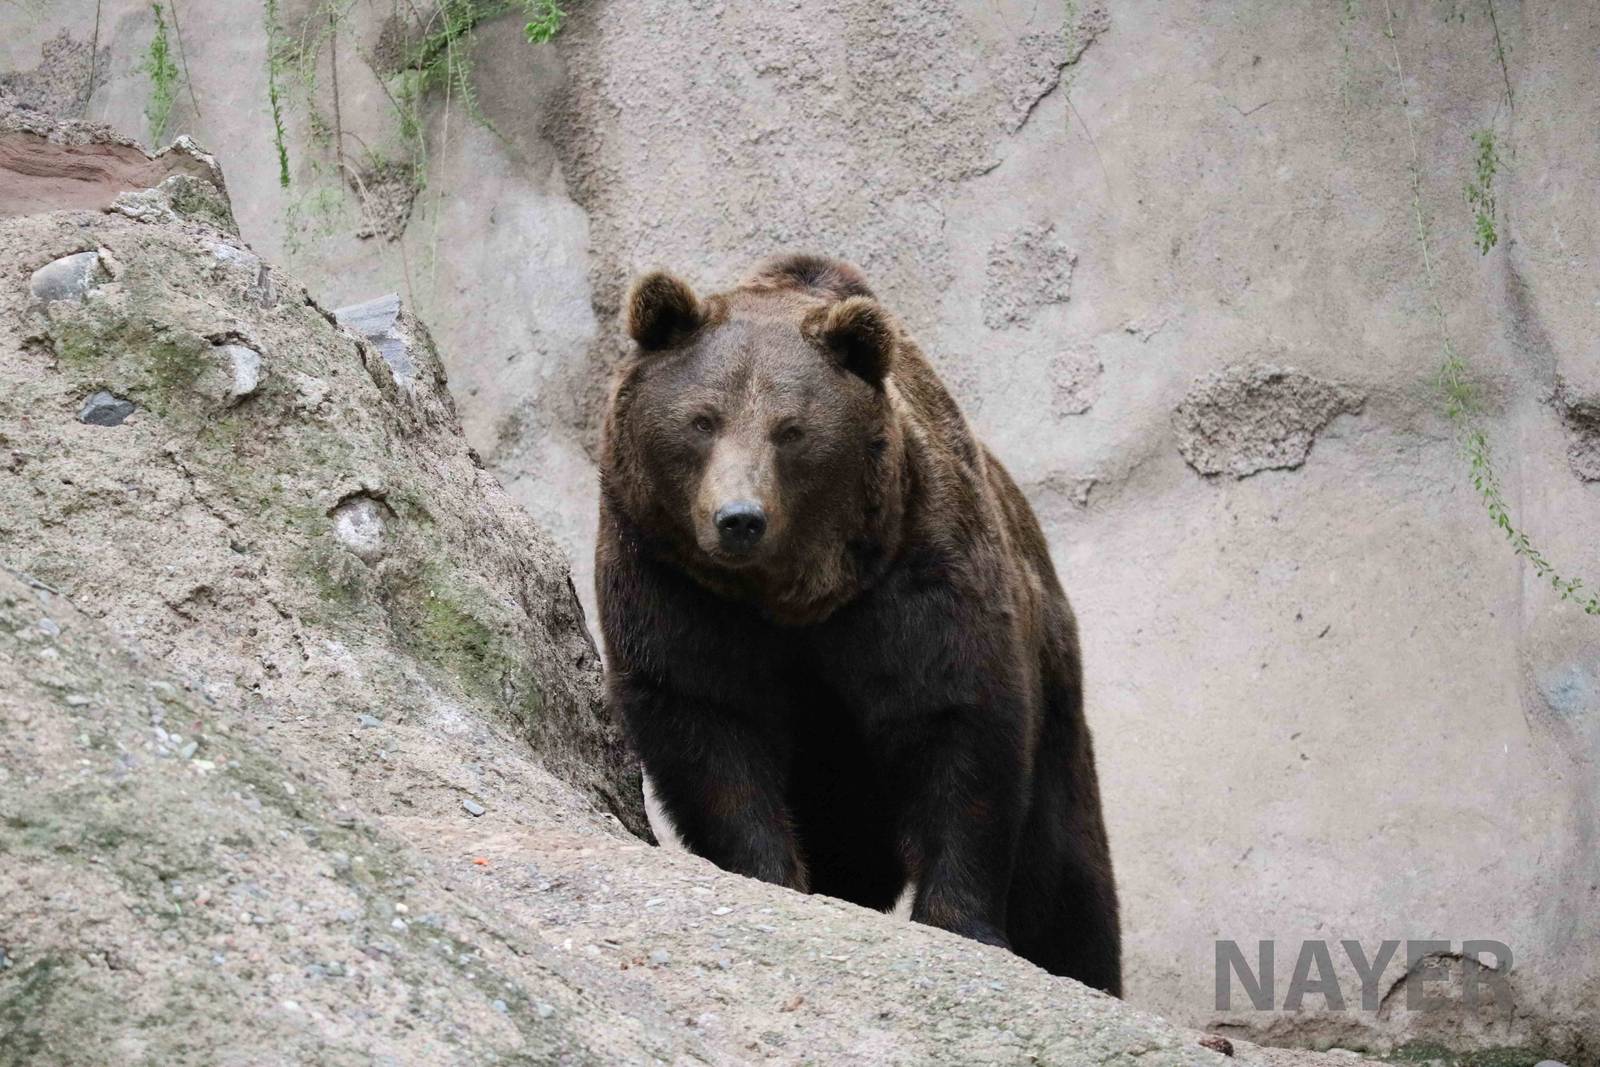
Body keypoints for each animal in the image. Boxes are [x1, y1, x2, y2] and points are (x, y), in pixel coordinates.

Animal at [596, 253, 1121, 995]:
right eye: (702, 420)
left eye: (790, 429)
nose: (739, 518)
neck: (796, 595)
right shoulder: (673, 580)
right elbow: (707, 726)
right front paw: (772, 873)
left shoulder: (916, 574)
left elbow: (961, 727)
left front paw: (961, 921)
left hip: (1056, 683)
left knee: (1066, 867)